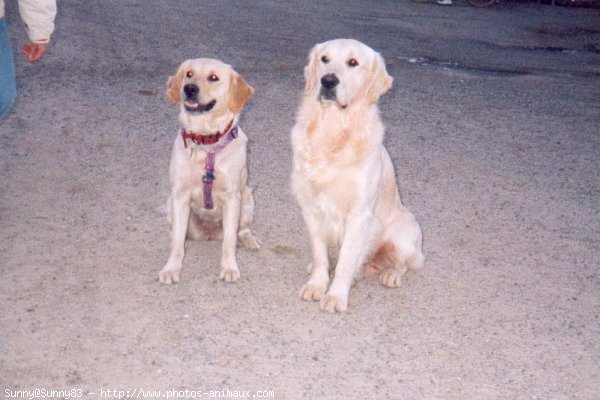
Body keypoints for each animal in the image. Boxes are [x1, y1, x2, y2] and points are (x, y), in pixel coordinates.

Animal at [159, 58, 260, 284]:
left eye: (213, 78)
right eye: (189, 74)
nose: (189, 88)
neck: (206, 144)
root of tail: (209, 234)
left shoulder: (232, 197)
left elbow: (229, 242)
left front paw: (229, 268)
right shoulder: (180, 196)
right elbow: (177, 243)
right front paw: (172, 268)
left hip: (247, 201)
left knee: (242, 231)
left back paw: (251, 240)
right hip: (171, 204)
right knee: (175, 234)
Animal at [290, 39, 422, 312]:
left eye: (353, 62)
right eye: (324, 59)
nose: (328, 81)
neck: (332, 132)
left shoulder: (359, 213)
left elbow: (346, 261)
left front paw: (336, 296)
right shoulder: (310, 207)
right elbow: (320, 254)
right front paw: (317, 284)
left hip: (406, 233)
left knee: (403, 263)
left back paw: (390, 274)